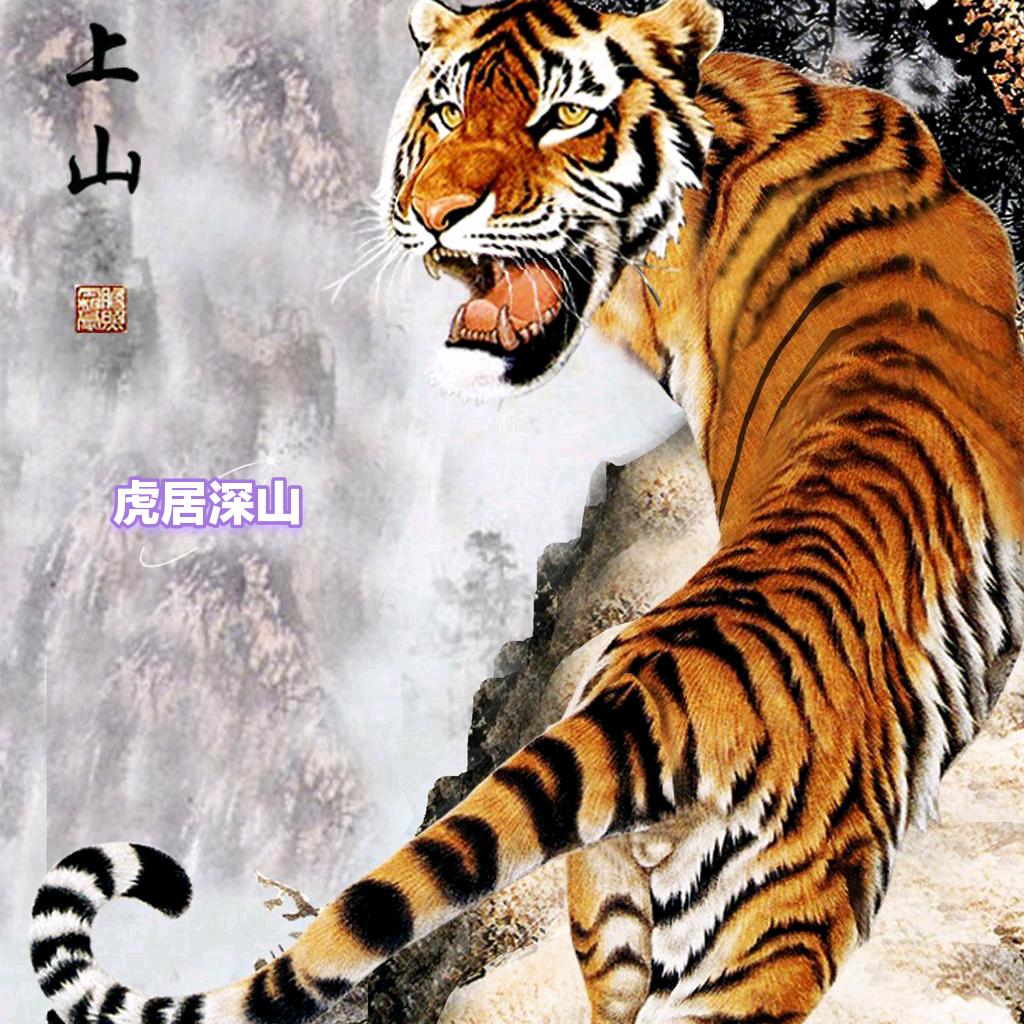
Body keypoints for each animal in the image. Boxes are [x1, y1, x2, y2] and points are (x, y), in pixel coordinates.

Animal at [32, 1, 1024, 1022]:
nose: (434, 215)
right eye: (447, 112)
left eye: (563, 118)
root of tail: (647, 703)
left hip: (615, 916)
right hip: (778, 931)